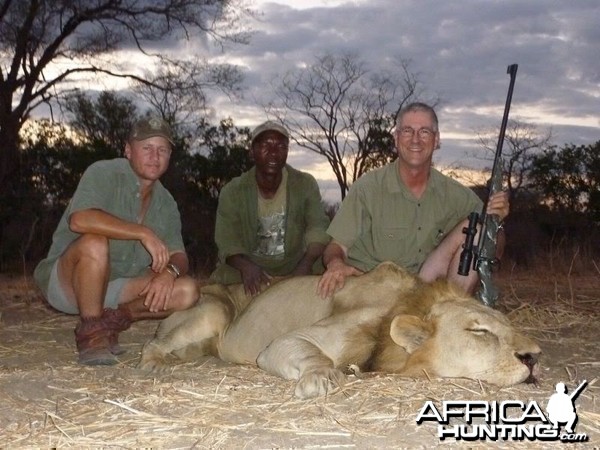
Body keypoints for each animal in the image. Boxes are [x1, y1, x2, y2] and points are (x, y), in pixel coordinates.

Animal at [138, 262, 540, 400]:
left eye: (509, 326)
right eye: (480, 331)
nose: (535, 358)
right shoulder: (286, 342)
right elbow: (313, 355)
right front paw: (322, 377)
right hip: (213, 308)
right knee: (153, 344)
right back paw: (156, 363)